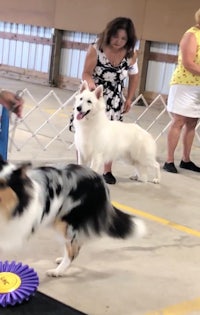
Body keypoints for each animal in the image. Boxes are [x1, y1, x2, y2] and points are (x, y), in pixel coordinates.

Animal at [0, 158, 146, 276]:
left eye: (3, 184)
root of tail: (100, 181)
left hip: (65, 223)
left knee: (73, 250)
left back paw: (58, 271)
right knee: (75, 245)